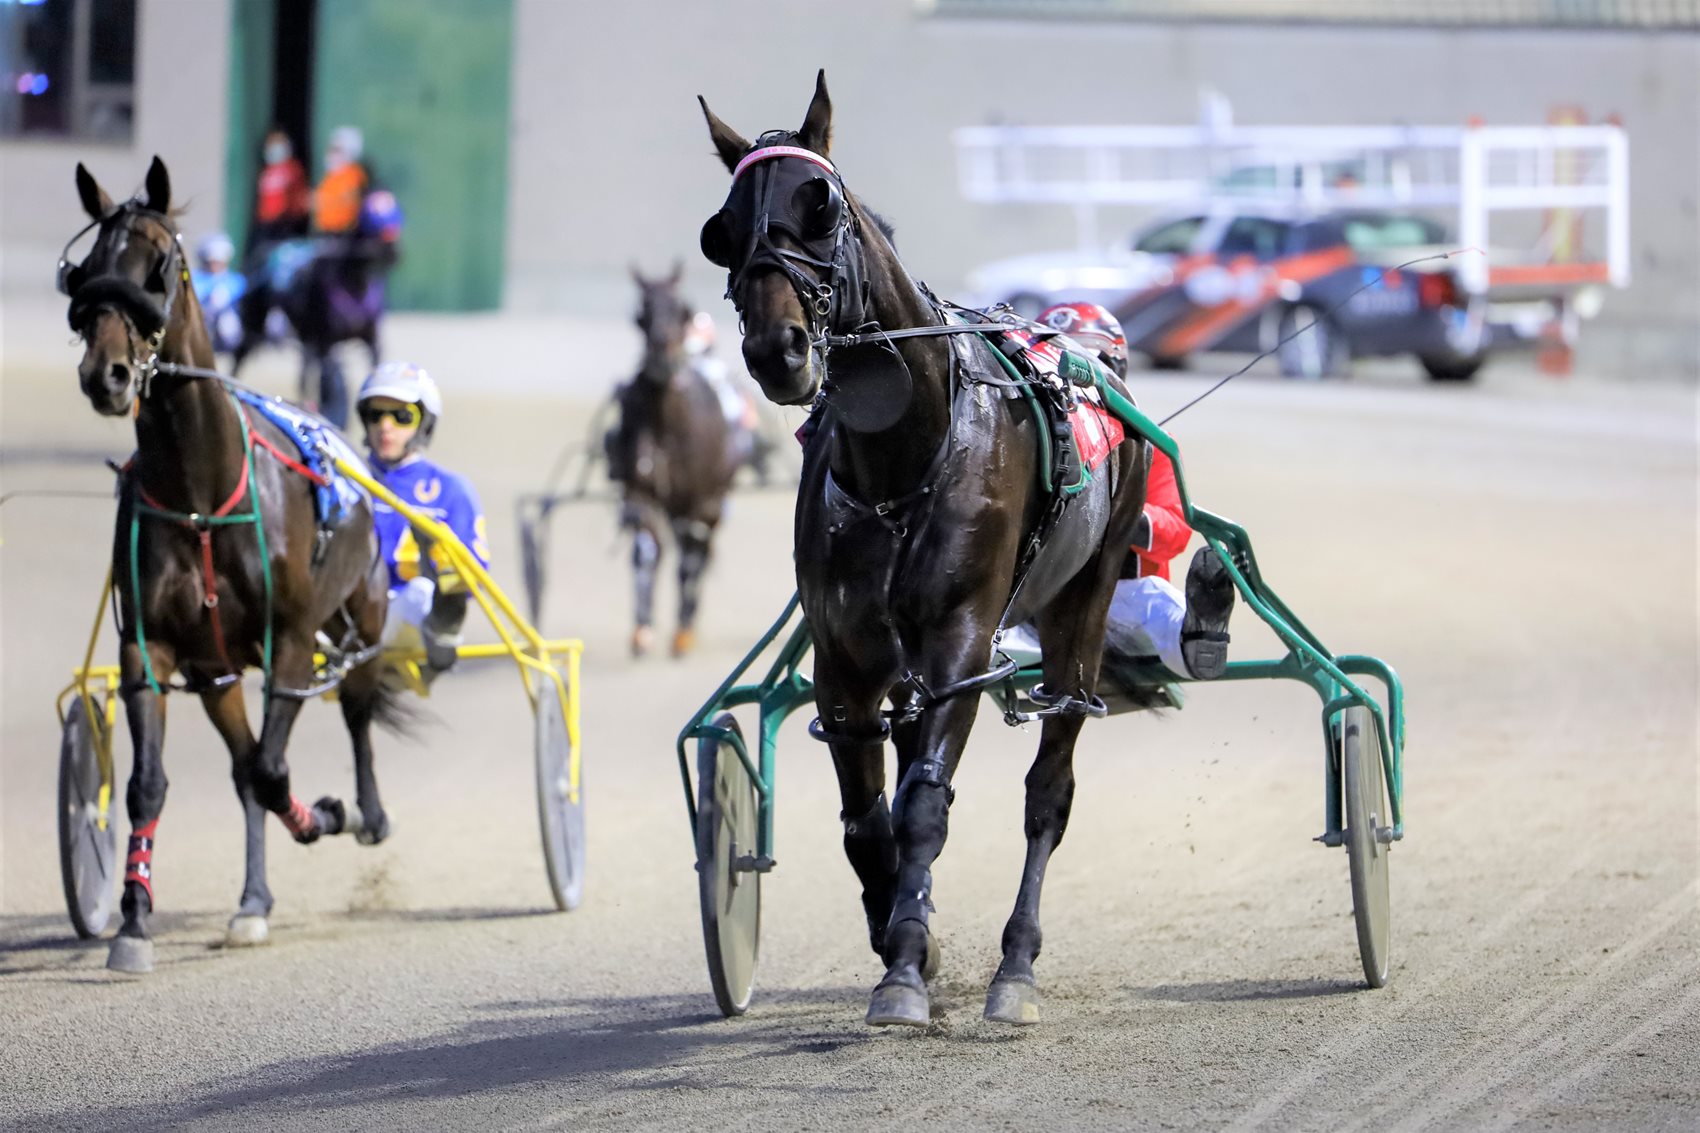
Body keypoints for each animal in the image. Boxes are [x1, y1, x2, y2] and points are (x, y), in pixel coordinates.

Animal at [60, 156, 397, 973]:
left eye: (158, 265)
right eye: (86, 270)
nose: (106, 375)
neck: (200, 491)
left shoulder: (293, 642)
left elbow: (277, 773)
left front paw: (326, 814)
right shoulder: (151, 649)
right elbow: (152, 785)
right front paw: (133, 919)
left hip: (363, 621)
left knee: (357, 713)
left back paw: (365, 814)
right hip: (216, 673)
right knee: (244, 766)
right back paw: (253, 901)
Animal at [615, 261, 741, 653]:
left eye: (681, 310)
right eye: (642, 313)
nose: (661, 360)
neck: (667, 425)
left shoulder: (701, 500)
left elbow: (690, 560)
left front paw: (683, 631)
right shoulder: (641, 492)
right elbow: (646, 551)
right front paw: (642, 629)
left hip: (712, 499)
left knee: (699, 550)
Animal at [697, 72, 1149, 1020]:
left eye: (821, 204)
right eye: (723, 227)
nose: (776, 350)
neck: (900, 463)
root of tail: (1092, 358)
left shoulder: (958, 641)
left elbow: (925, 807)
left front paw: (905, 968)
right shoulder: (845, 654)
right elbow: (869, 820)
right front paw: (908, 939)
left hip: (1083, 604)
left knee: (1049, 789)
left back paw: (1016, 968)